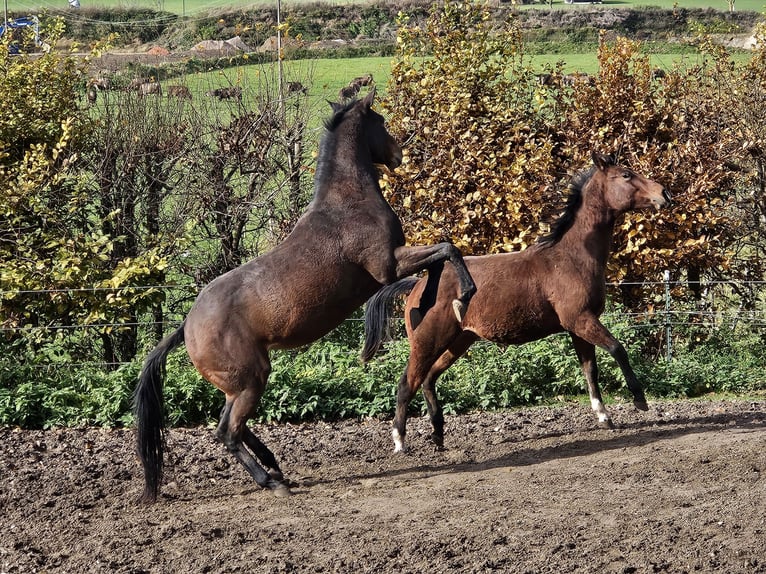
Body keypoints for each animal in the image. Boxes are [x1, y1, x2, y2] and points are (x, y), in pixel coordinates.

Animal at [133, 89, 477, 503]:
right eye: (379, 122)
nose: (398, 154)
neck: (348, 202)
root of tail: (187, 325)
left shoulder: (394, 265)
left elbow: (440, 258)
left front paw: (429, 304)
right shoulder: (388, 266)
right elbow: (447, 249)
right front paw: (460, 295)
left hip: (241, 383)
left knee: (229, 427)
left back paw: (274, 464)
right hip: (250, 380)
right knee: (228, 433)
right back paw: (272, 481)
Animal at [362, 152, 671, 453]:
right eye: (626, 175)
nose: (664, 194)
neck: (571, 258)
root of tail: (418, 284)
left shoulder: (578, 326)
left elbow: (590, 370)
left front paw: (604, 416)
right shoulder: (581, 319)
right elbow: (618, 349)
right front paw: (639, 400)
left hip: (459, 341)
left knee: (428, 379)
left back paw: (438, 435)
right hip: (428, 341)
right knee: (407, 383)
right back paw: (400, 441)